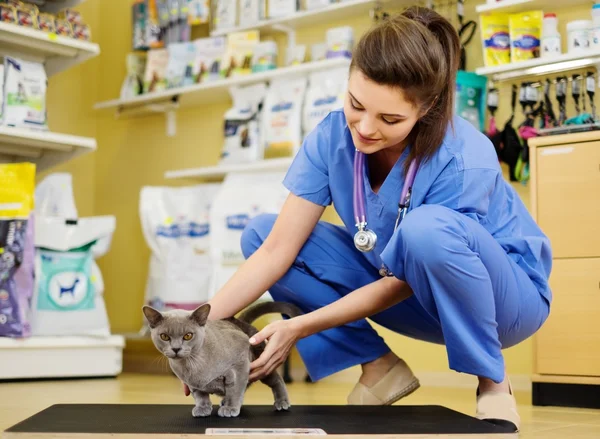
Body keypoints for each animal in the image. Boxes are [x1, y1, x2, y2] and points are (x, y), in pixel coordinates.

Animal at [142, 302, 302, 420]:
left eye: (188, 336)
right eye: (164, 336)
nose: (176, 348)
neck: (193, 365)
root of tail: (239, 322)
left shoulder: (239, 368)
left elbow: (235, 390)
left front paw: (230, 408)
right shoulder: (192, 384)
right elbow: (200, 396)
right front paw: (202, 408)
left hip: (262, 365)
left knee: (277, 380)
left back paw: (282, 402)